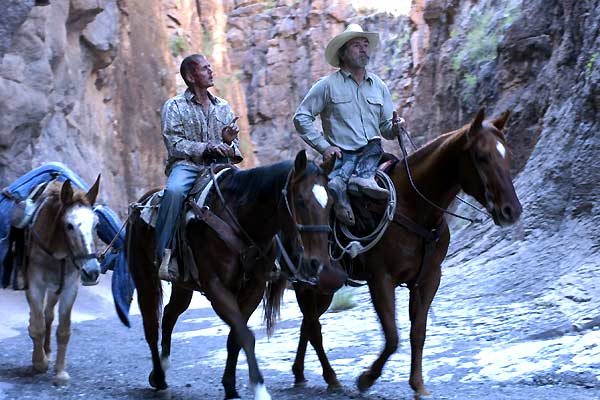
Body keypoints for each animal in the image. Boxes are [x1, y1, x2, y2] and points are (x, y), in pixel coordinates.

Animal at [24, 177, 102, 386]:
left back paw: (48, 351)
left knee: (48, 314)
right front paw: (39, 363)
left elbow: (64, 330)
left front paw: (60, 372)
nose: (92, 271)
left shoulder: (69, 288)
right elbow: (37, 326)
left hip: (54, 290)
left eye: (96, 225)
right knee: (38, 317)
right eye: (69, 225)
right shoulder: (34, 285)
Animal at [127, 151, 346, 400]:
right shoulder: (216, 288)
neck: (240, 220)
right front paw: (260, 389)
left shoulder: (254, 289)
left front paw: (230, 387)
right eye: (300, 201)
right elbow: (245, 335)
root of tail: (141, 204)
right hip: (144, 277)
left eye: (330, 204)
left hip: (183, 286)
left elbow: (235, 337)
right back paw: (158, 377)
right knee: (151, 325)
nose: (319, 265)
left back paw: (163, 368)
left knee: (170, 315)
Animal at [290, 108, 520, 396]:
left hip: (324, 287)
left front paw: (418, 385)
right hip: (306, 283)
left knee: (307, 324)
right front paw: (366, 379)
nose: (512, 211)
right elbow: (392, 337)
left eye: (508, 154)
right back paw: (330, 378)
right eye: (482, 156)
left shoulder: (428, 279)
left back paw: (301, 374)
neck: (414, 207)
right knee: (313, 326)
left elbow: (417, 333)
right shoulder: (380, 279)